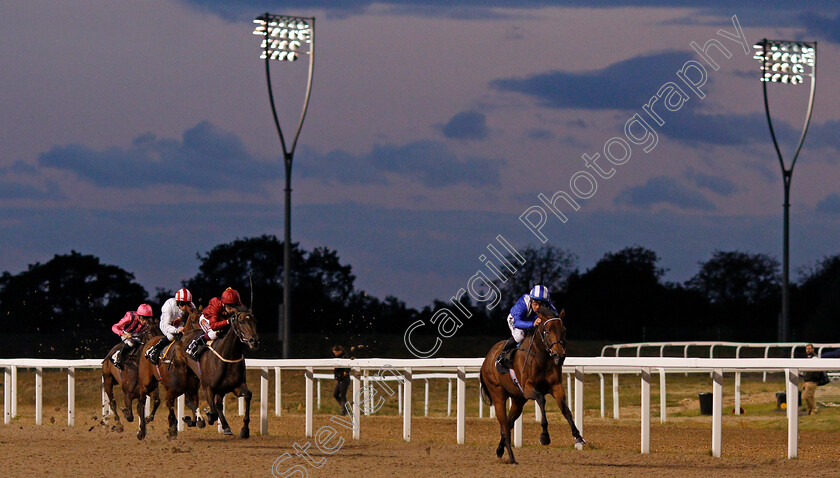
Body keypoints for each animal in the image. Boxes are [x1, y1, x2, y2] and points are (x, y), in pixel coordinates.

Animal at [480, 308, 584, 464]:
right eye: (547, 331)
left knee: (508, 425)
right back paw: (512, 458)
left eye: (564, 330)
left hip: (518, 400)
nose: (559, 356)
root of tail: (487, 360)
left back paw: (500, 450)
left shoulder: (556, 386)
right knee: (504, 425)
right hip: (498, 395)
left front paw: (577, 435)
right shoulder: (528, 388)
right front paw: (544, 437)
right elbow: (541, 399)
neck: (542, 357)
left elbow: (566, 410)